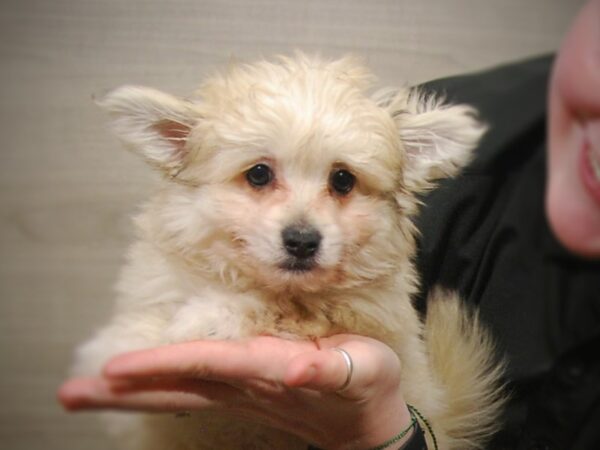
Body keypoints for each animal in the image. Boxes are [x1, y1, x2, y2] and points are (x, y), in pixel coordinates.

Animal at [72, 55, 504, 450]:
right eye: (259, 174)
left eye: (343, 180)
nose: (302, 241)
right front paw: (117, 346)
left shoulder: (359, 312)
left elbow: (272, 306)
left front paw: (209, 317)